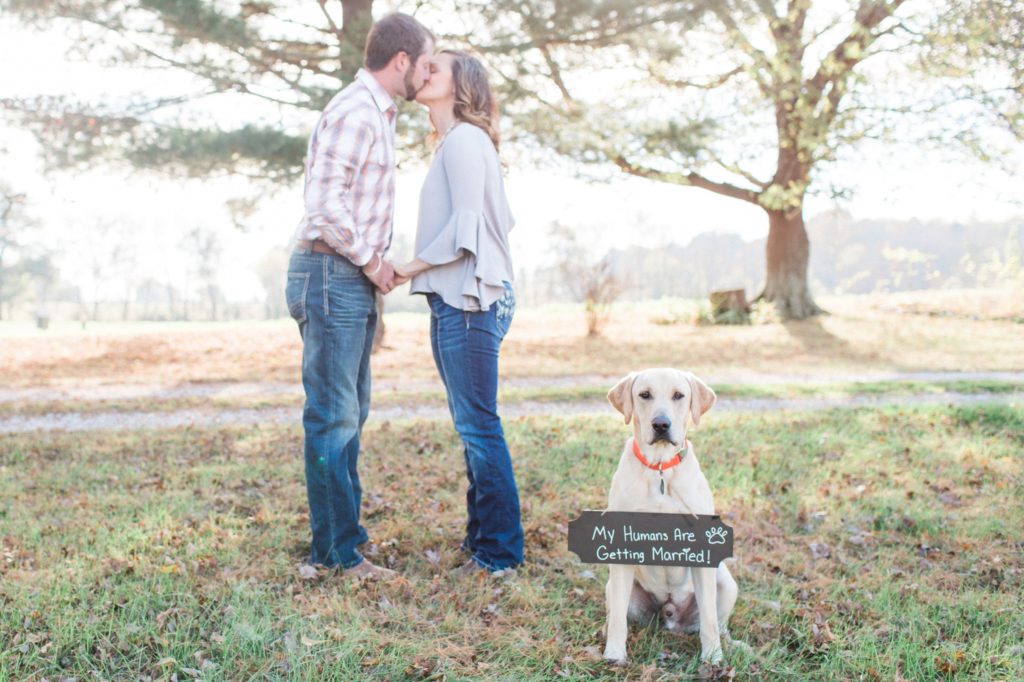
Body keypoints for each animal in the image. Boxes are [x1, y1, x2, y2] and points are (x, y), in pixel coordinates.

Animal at [598, 368, 737, 659]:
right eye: (644, 394)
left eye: (678, 395)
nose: (661, 424)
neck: (660, 467)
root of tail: (671, 613)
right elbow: (617, 618)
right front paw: (614, 655)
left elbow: (709, 620)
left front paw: (712, 658)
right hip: (614, 586)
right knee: (615, 612)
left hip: (726, 583)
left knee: (719, 623)